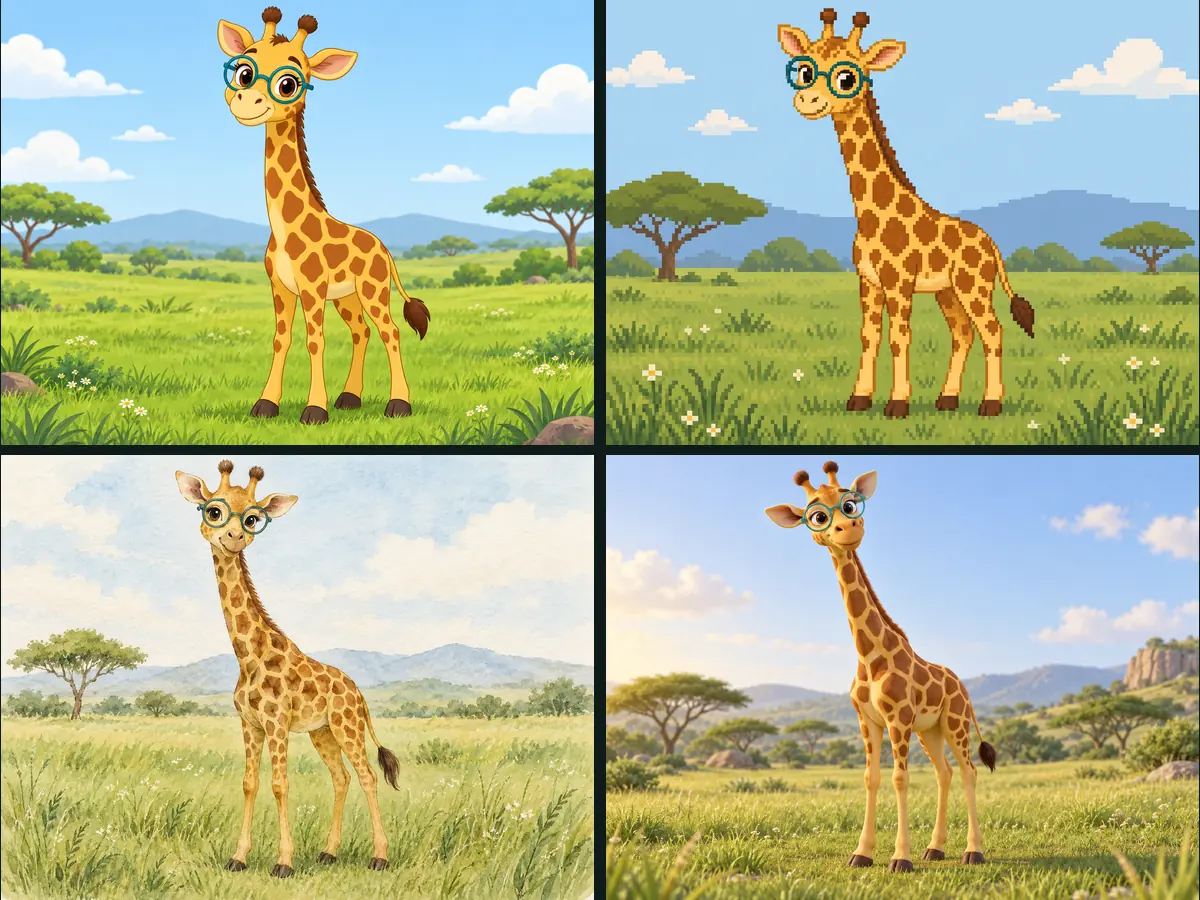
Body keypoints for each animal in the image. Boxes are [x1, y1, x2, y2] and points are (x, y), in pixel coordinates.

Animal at [175, 460, 400, 877]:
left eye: (251, 518)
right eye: (213, 511)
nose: (233, 538)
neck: (248, 656)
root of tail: (358, 693)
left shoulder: (277, 723)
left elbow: (280, 784)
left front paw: (283, 862)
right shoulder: (250, 724)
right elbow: (249, 782)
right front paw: (238, 857)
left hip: (346, 726)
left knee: (367, 775)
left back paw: (379, 857)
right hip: (322, 732)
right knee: (341, 777)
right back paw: (329, 852)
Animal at [217, 8, 431, 425]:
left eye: (288, 83)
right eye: (244, 70)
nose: (245, 101)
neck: (284, 226)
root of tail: (385, 250)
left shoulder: (312, 287)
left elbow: (314, 340)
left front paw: (314, 410)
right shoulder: (281, 287)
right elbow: (280, 338)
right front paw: (266, 405)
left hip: (372, 290)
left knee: (390, 331)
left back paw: (399, 405)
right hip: (347, 297)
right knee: (362, 332)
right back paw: (350, 398)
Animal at [765, 462, 997, 872]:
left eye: (851, 503)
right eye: (817, 516)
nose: (850, 530)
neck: (870, 656)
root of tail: (963, 686)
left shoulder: (898, 719)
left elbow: (899, 779)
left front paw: (900, 859)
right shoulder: (868, 720)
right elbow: (870, 778)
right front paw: (863, 853)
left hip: (954, 723)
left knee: (968, 770)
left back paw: (973, 851)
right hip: (930, 730)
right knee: (944, 771)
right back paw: (936, 848)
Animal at [777, 9, 1035, 418]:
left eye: (847, 77)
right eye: (804, 69)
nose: (807, 100)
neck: (868, 214)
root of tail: (992, 244)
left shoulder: (898, 283)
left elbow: (900, 337)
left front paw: (898, 404)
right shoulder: (868, 282)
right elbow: (870, 335)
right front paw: (859, 399)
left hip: (974, 286)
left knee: (991, 330)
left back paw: (990, 404)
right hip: (948, 291)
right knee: (962, 332)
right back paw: (947, 400)